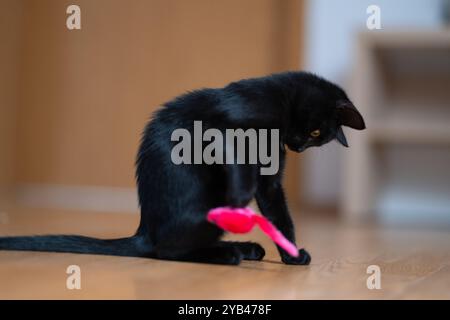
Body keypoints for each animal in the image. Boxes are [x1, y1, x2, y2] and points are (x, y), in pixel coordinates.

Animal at [0, 72, 364, 264]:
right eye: (316, 133)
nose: (300, 146)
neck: (280, 102)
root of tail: (144, 232)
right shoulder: (223, 130)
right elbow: (242, 169)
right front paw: (241, 197)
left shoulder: (271, 180)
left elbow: (280, 214)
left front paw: (291, 255)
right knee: (168, 251)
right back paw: (231, 252)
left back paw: (245, 248)